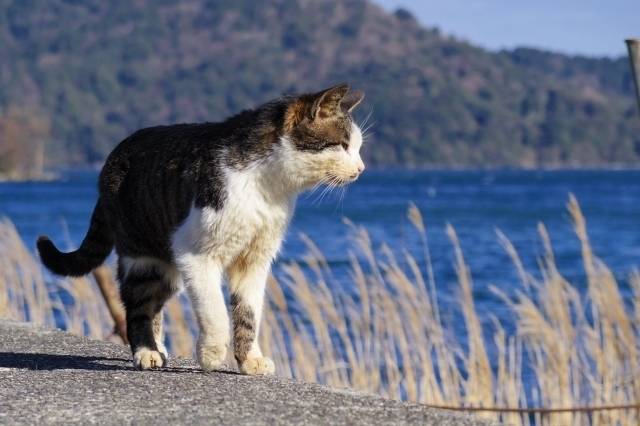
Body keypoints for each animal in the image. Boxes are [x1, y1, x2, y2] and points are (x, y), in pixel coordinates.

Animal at [36, 84, 364, 376]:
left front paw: (250, 361)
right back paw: (146, 352)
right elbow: (215, 311)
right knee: (137, 305)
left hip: (166, 269)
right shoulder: (195, 254)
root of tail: (111, 160)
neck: (268, 187)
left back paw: (159, 347)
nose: (361, 169)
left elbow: (248, 314)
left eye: (358, 147)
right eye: (342, 144)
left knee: (154, 305)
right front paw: (211, 354)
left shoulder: (254, 261)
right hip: (143, 257)